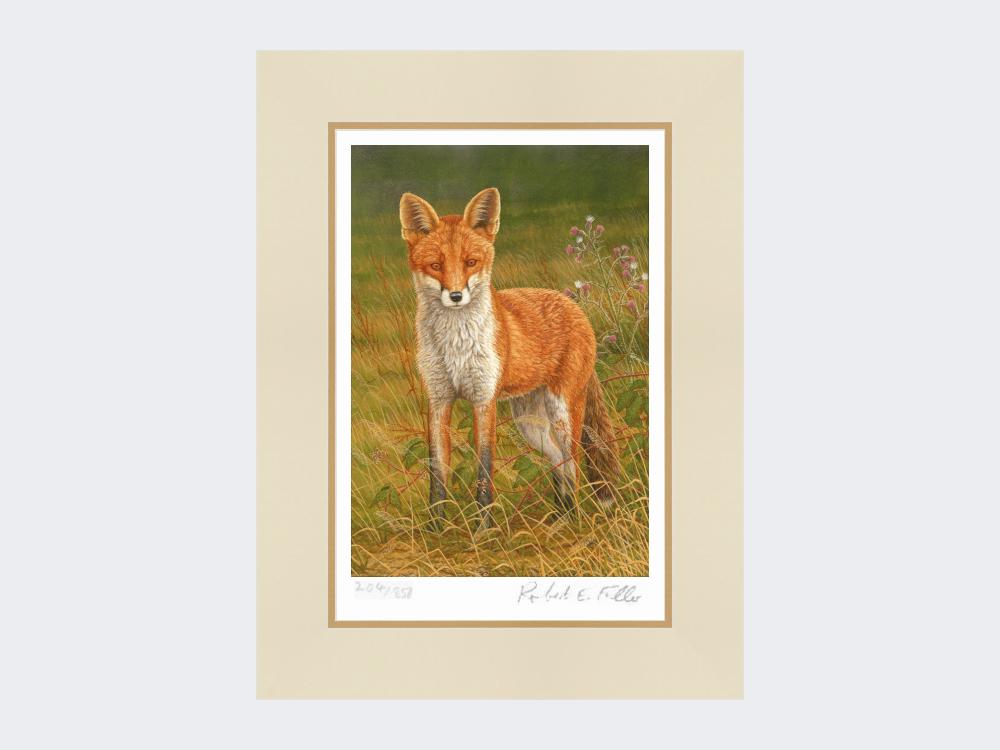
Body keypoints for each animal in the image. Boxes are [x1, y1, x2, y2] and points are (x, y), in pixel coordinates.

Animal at [400, 187, 621, 530]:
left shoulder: (483, 399)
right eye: (436, 265)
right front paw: (435, 529)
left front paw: (483, 530)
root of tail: (573, 305)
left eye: (471, 262)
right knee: (558, 462)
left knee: (573, 464)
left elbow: (484, 470)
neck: (455, 347)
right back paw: (560, 517)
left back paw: (573, 521)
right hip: (530, 422)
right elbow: (437, 472)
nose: (455, 296)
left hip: (563, 414)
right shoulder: (438, 399)